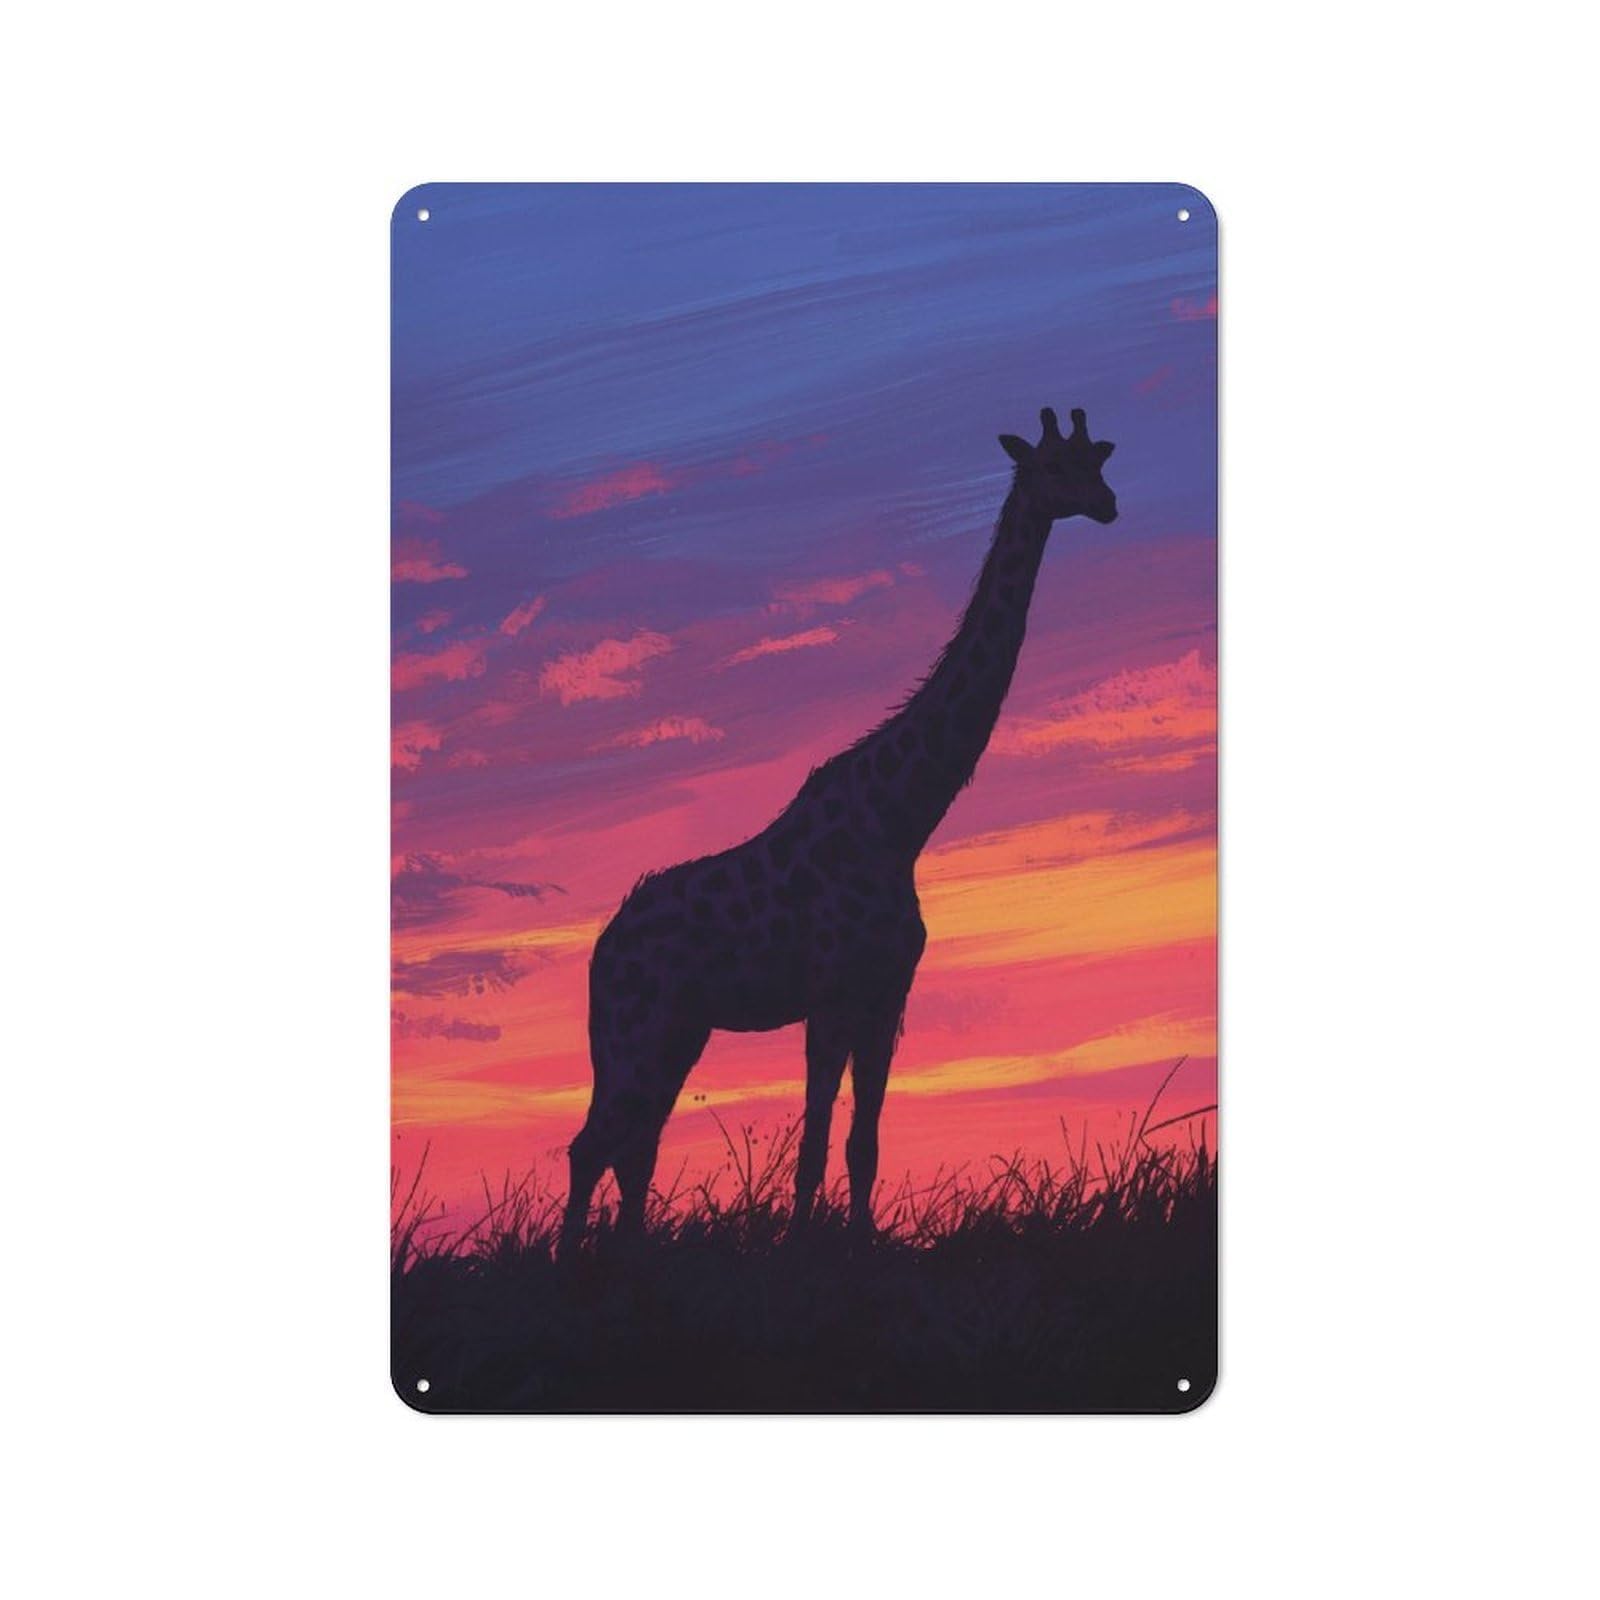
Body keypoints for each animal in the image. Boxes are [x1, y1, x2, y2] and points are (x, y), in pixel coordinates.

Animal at [560, 406, 1118, 1252]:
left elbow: (863, 1143)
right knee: (592, 1144)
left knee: (634, 1146)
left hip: (677, 1030)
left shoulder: (888, 996)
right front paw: (800, 1246)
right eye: (1055, 468)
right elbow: (815, 1142)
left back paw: (625, 1255)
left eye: (1097, 462)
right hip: (634, 1025)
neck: (901, 819)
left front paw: (856, 1241)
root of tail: (601, 947)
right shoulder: (828, 994)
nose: (1110, 504)